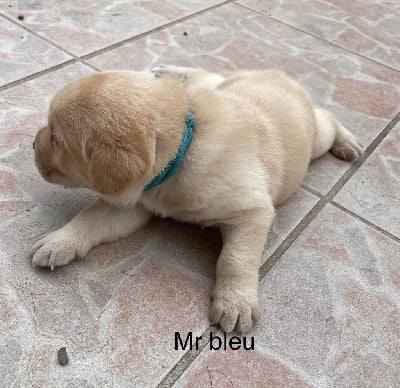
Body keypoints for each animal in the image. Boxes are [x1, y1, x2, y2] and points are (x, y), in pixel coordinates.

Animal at [31, 66, 362, 334]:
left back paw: (349, 143)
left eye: (57, 140)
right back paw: (170, 71)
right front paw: (59, 241)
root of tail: (277, 73)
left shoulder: (253, 211)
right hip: (221, 84)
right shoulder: (133, 203)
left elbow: (235, 258)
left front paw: (236, 301)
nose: (33, 143)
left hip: (315, 140)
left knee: (328, 118)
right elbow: (90, 218)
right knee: (206, 74)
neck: (184, 145)